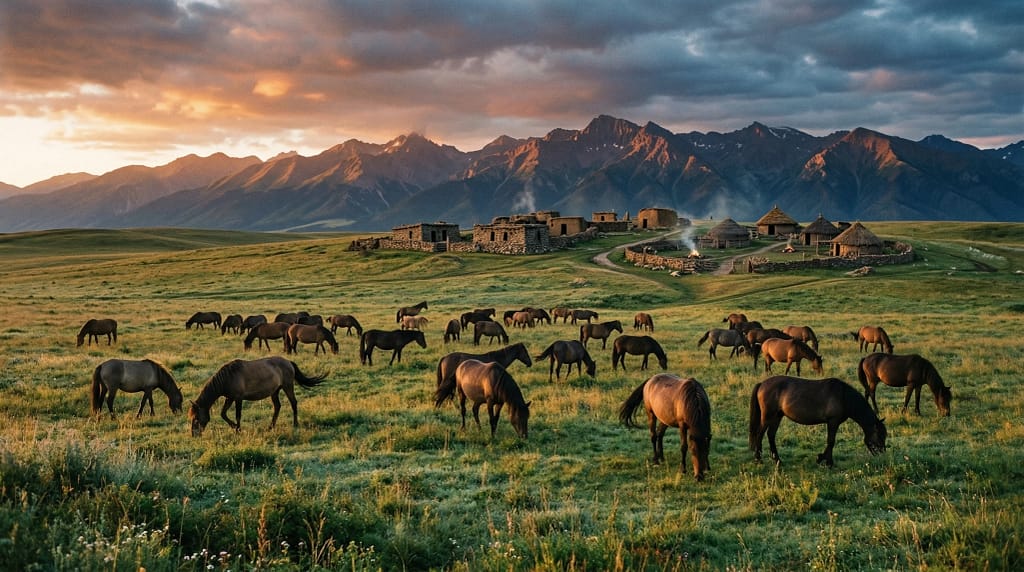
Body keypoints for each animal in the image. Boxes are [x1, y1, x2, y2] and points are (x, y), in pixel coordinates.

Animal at [188, 356, 326, 436]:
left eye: (196, 419)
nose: (194, 435)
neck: (228, 377)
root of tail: (288, 362)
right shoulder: (230, 398)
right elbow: (223, 414)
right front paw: (234, 427)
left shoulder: (238, 398)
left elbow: (238, 415)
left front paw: (238, 429)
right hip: (275, 391)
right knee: (277, 407)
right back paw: (271, 427)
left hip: (287, 386)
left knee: (293, 403)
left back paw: (295, 424)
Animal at [749, 375, 887, 467]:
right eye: (880, 436)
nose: (882, 454)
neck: (843, 396)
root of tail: (762, 384)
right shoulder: (833, 422)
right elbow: (831, 441)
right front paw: (828, 462)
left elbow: (830, 442)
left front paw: (821, 458)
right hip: (768, 417)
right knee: (759, 434)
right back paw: (758, 459)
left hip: (777, 416)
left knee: (771, 435)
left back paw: (777, 460)